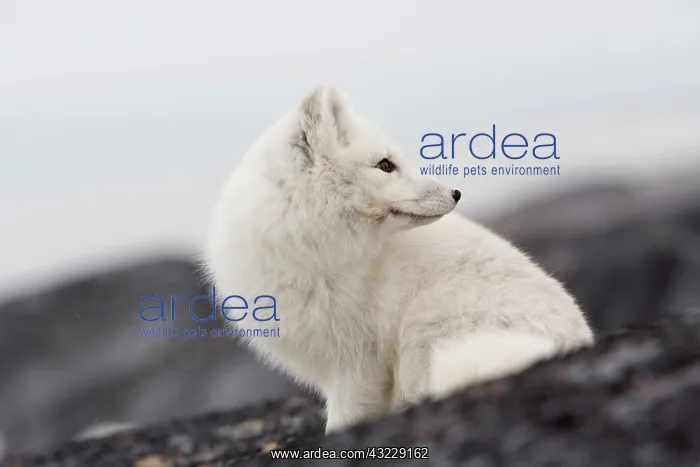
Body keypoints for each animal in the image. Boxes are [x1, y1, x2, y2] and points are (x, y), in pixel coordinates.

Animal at [203, 84, 594, 433]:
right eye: (385, 165)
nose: (456, 192)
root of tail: (577, 339)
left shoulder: (357, 363)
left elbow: (343, 419)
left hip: (426, 325)